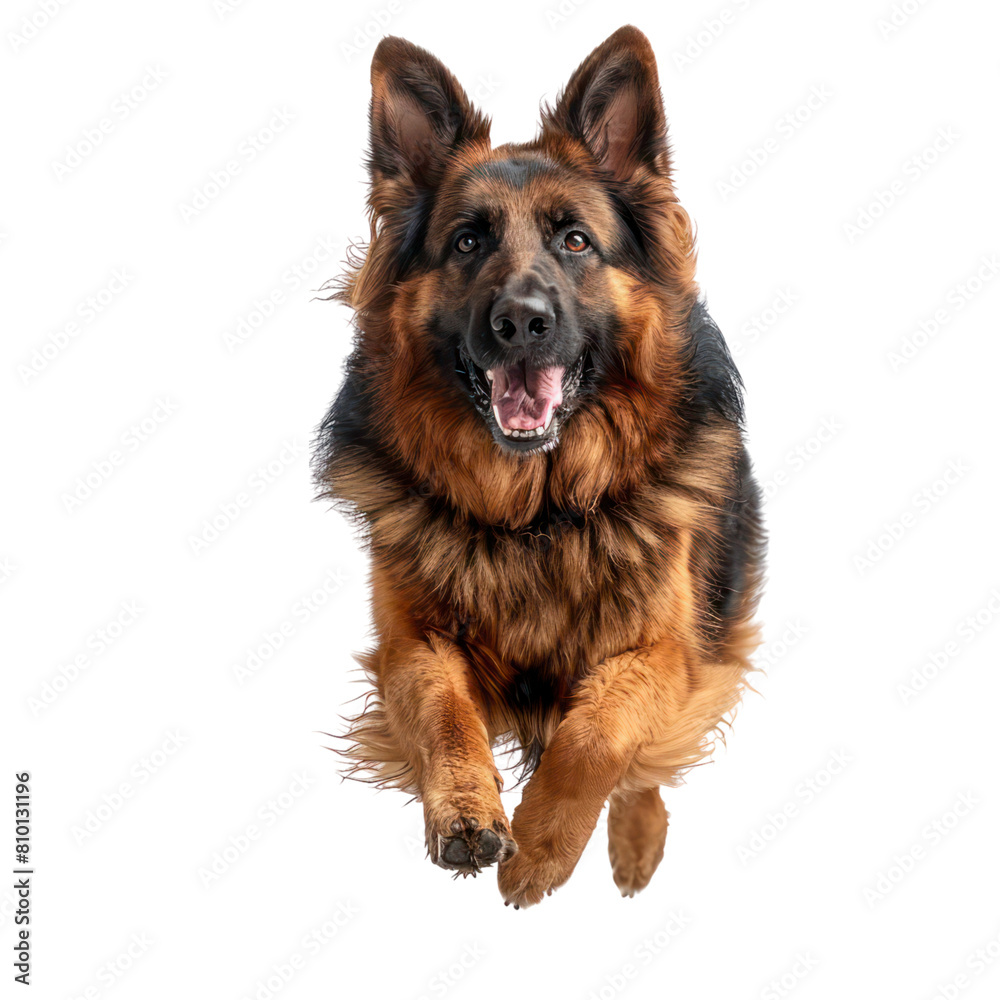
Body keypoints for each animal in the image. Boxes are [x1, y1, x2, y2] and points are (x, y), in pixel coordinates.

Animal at [316, 23, 760, 912]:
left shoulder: (664, 653)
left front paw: (542, 852)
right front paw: (467, 811)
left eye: (575, 240)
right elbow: (446, 711)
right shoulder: (411, 641)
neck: (536, 515)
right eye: (467, 241)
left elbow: (596, 733)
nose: (521, 322)